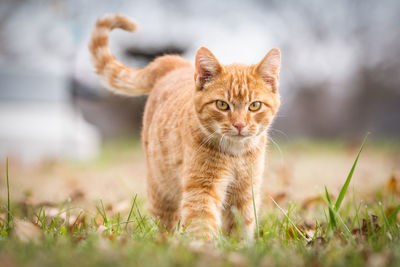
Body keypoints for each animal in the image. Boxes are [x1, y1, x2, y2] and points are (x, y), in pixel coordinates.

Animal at [89, 13, 280, 240]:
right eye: (222, 105)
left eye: (255, 105)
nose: (240, 124)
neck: (236, 154)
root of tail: (172, 62)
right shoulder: (202, 188)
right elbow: (201, 223)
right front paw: (204, 247)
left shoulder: (245, 190)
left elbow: (242, 224)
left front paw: (240, 246)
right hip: (161, 185)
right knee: (164, 219)